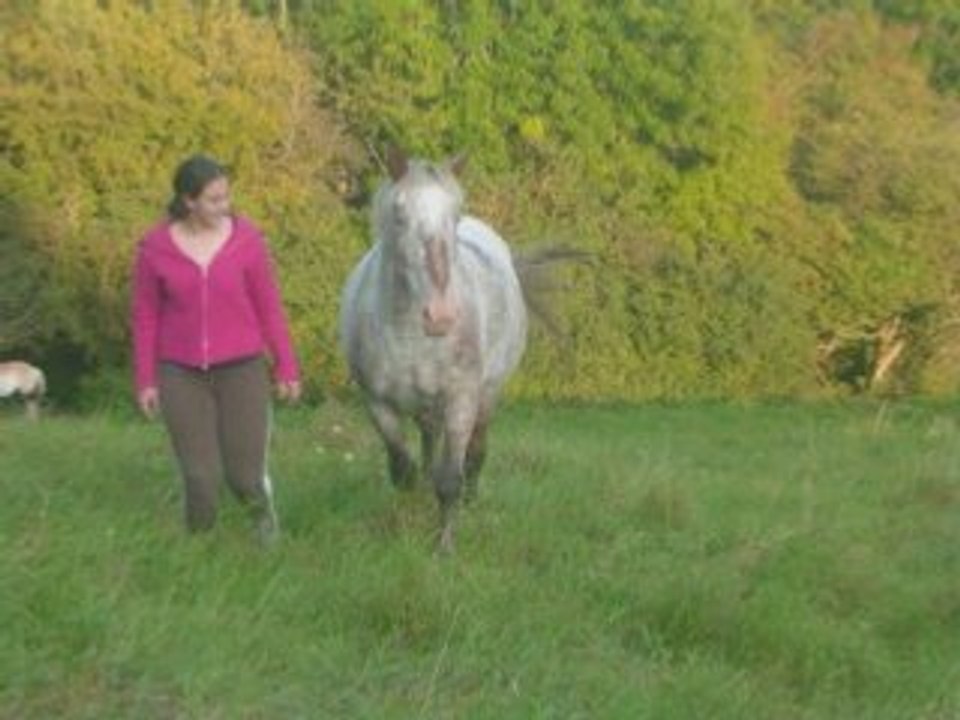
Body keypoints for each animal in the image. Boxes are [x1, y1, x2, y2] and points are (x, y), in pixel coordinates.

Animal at [339, 150, 530, 552]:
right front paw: (409, 506)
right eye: (399, 214)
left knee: (475, 454)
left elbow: (450, 480)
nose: (440, 316)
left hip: (487, 396)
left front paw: (443, 546)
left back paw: (471, 501)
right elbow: (402, 466)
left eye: (455, 214)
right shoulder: (376, 401)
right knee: (428, 439)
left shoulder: (461, 400)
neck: (408, 334)